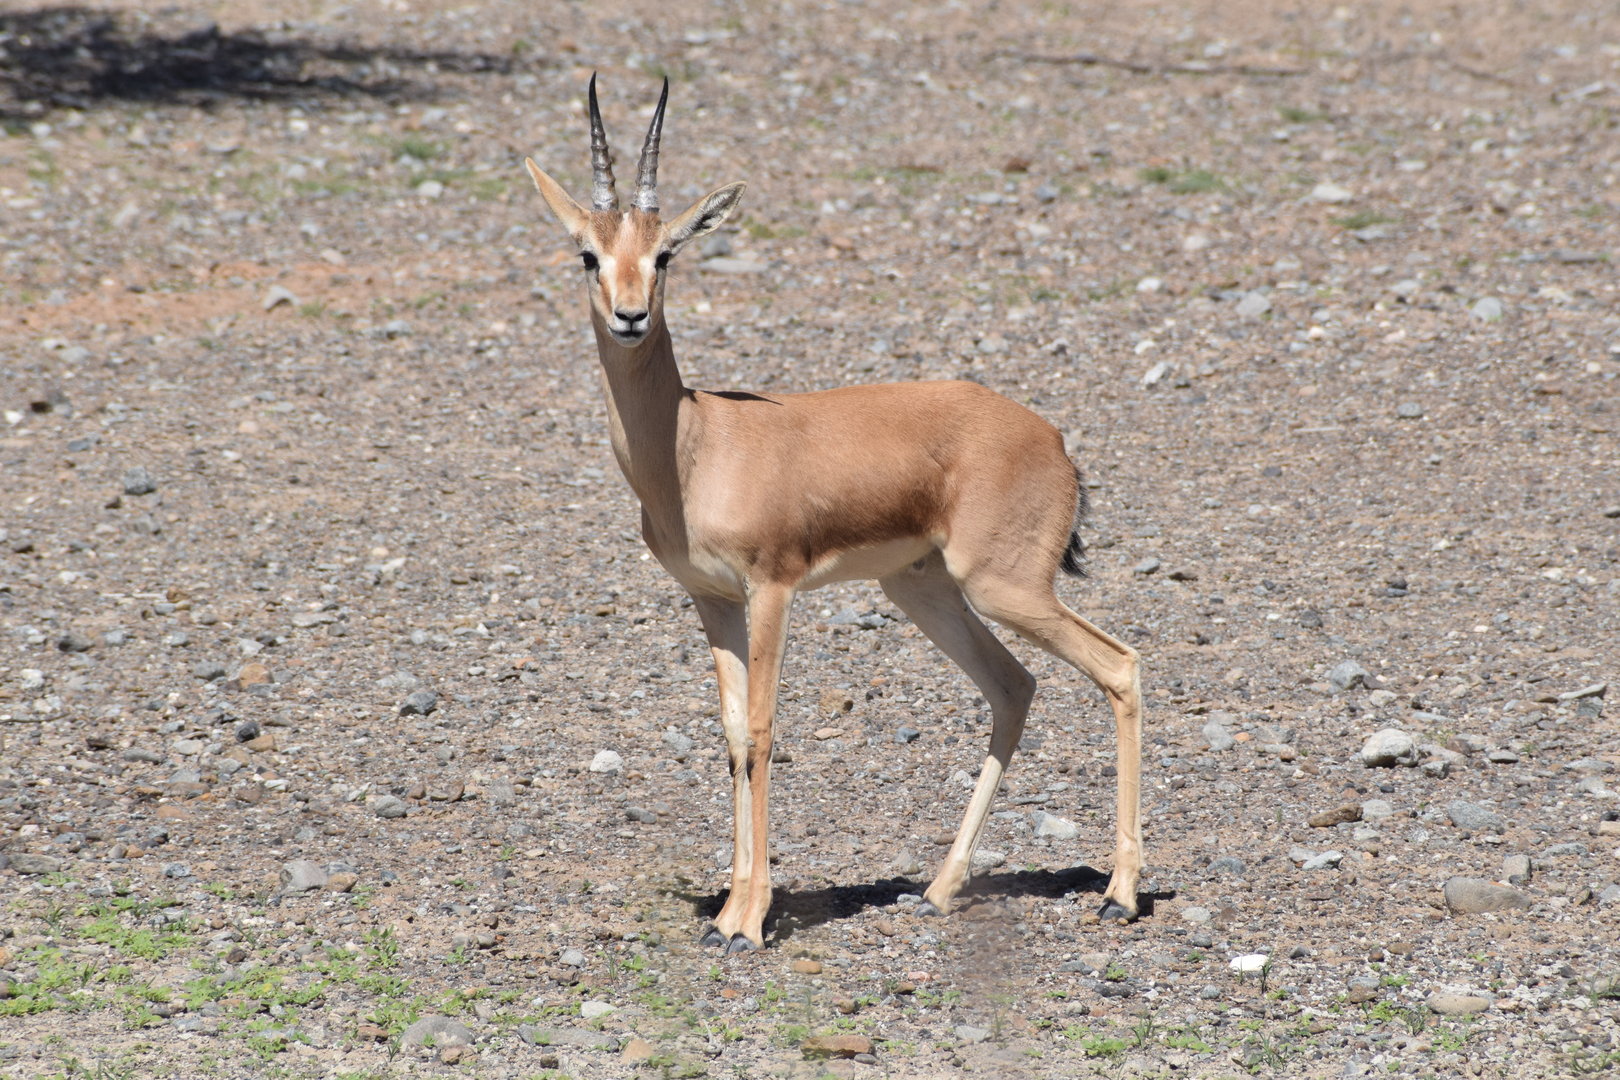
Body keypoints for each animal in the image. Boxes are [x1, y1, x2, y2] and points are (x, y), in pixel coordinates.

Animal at [523, 76, 1144, 952]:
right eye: (588, 252)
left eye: (665, 252)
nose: (631, 316)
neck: (696, 442)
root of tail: (1052, 439)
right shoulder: (711, 599)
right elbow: (731, 734)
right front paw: (726, 912)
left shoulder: (773, 587)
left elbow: (763, 728)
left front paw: (748, 922)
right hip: (921, 589)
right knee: (1013, 686)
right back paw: (938, 889)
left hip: (1004, 586)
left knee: (1119, 666)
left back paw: (1119, 895)